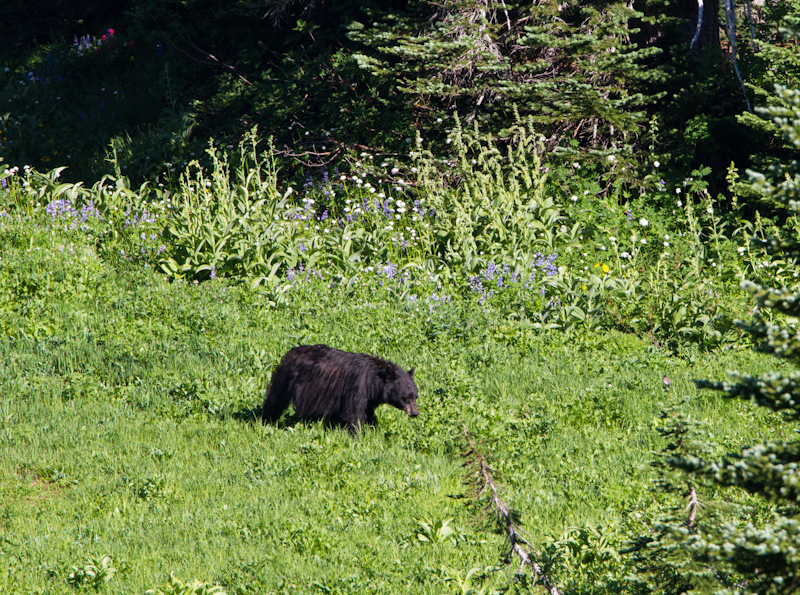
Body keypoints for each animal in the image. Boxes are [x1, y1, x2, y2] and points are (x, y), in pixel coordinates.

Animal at [260, 344, 418, 434]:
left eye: (415, 396)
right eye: (406, 397)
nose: (415, 413)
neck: (373, 380)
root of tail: (291, 351)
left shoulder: (369, 397)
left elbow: (368, 413)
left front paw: (374, 428)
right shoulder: (356, 386)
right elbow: (353, 413)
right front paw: (358, 435)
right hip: (287, 377)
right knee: (276, 399)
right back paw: (266, 419)